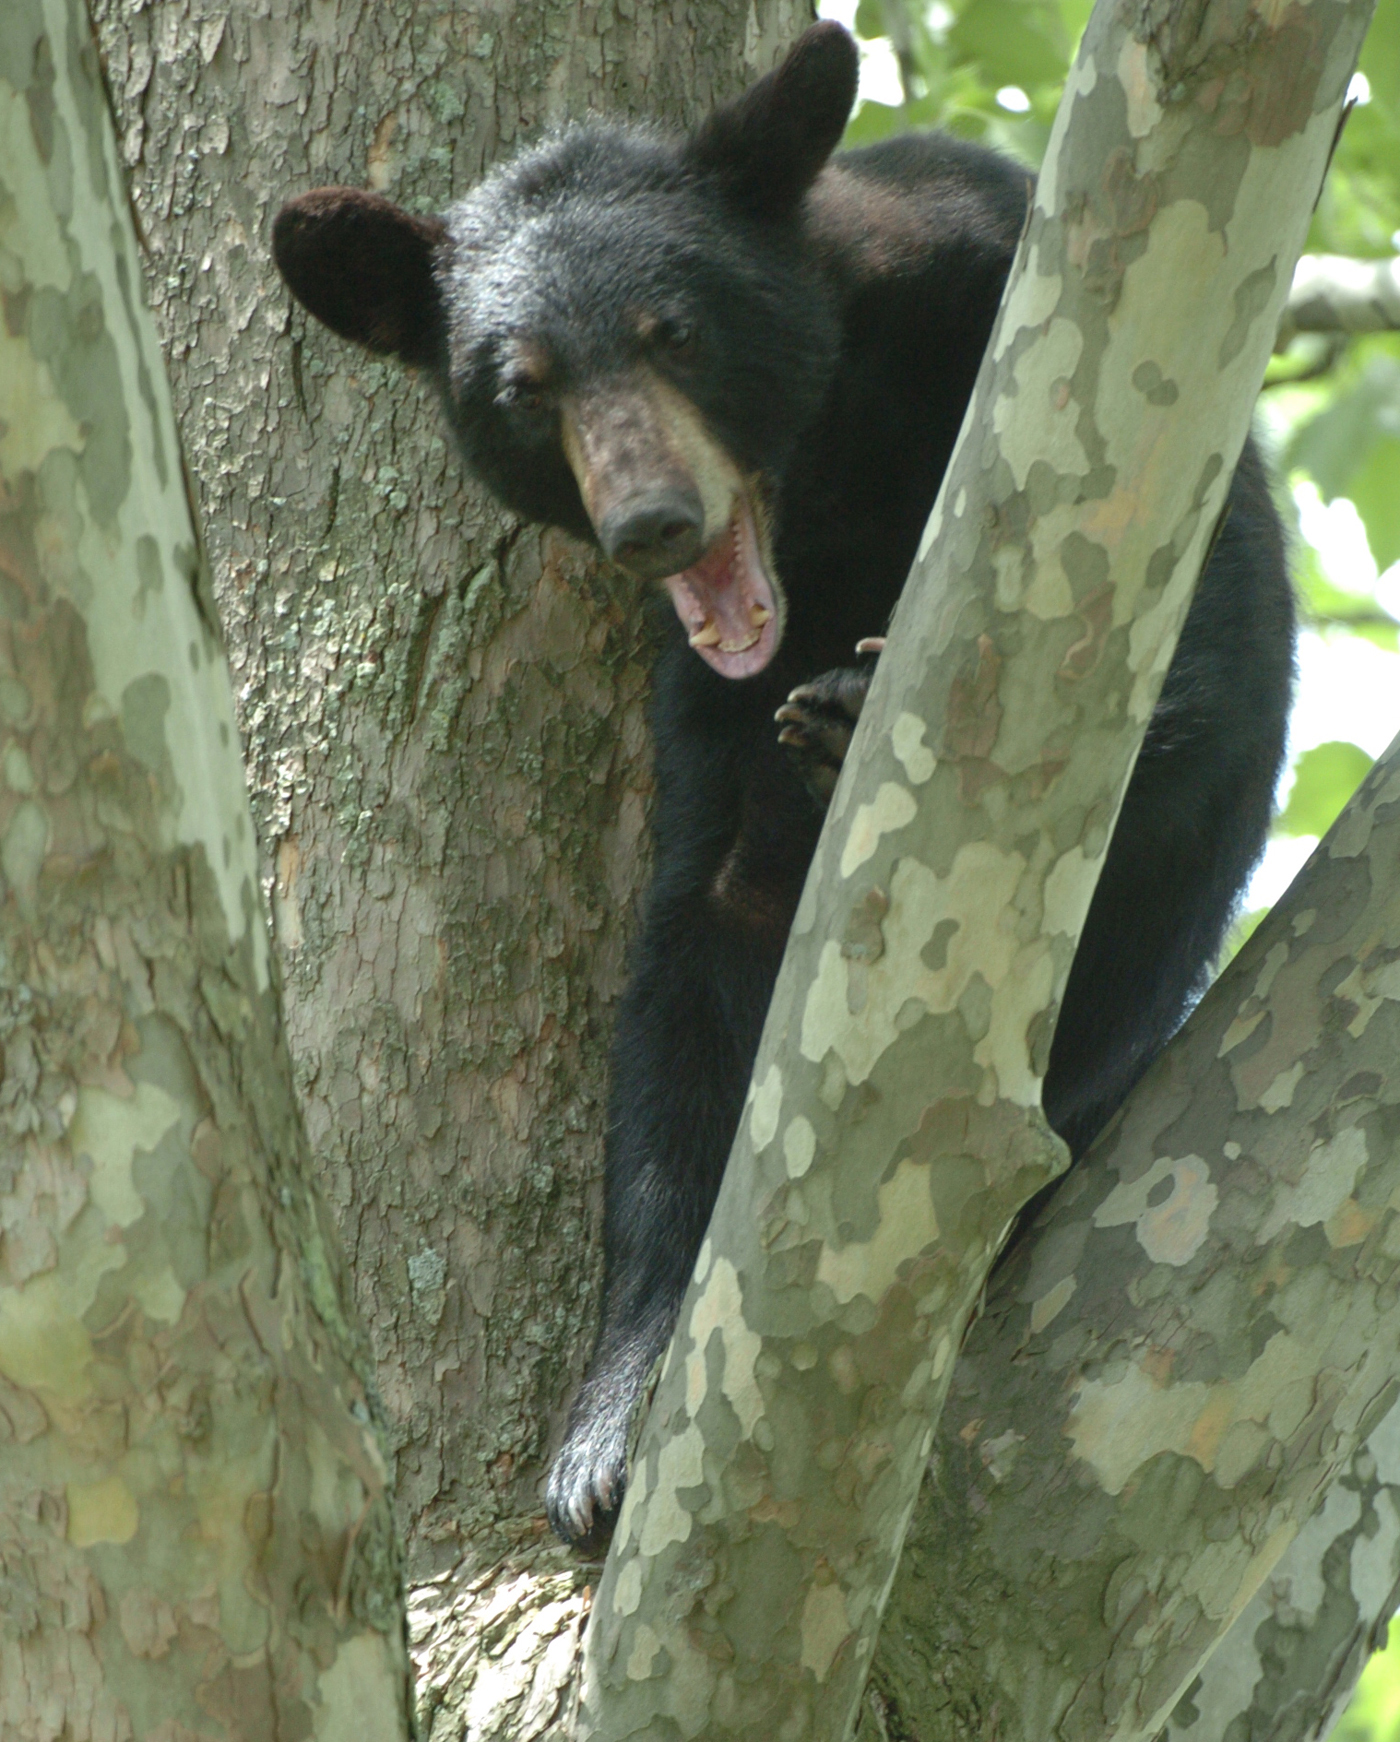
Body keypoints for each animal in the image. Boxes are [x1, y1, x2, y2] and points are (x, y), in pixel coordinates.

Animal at [272, 20, 1295, 1554]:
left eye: (675, 333)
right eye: (523, 384)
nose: (653, 522)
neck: (828, 476)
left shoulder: (1011, 299)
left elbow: (1197, 633)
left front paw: (860, 710)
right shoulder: (699, 703)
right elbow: (696, 957)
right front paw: (607, 1425)